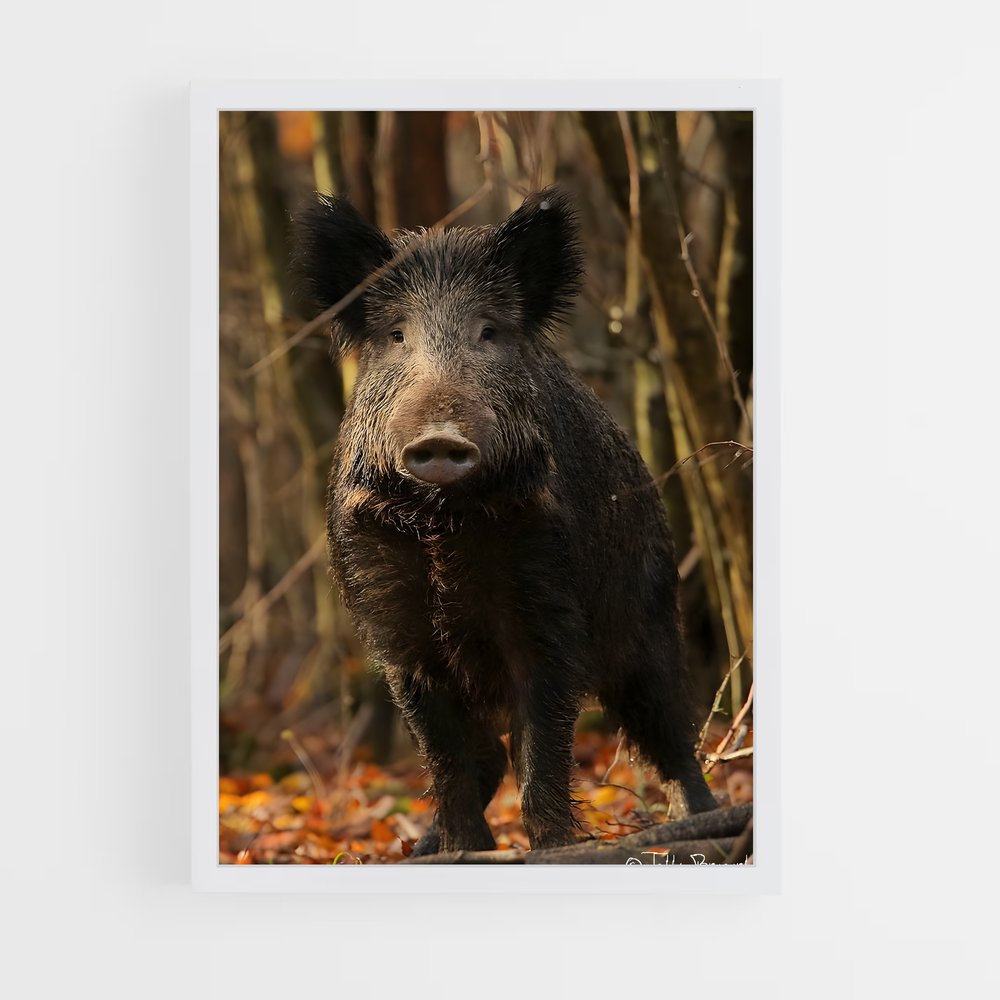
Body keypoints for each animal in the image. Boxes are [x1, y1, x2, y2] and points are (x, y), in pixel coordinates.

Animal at [293, 187, 717, 856]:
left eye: (488, 331)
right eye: (396, 335)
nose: (440, 437)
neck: (444, 525)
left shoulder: (547, 602)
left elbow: (542, 743)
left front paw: (556, 849)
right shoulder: (395, 626)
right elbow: (446, 754)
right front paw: (463, 851)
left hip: (649, 609)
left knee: (669, 727)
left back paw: (699, 824)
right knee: (487, 752)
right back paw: (423, 849)